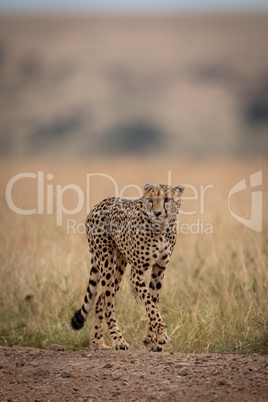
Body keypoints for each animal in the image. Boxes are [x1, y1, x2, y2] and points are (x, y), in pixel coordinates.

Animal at [70, 183, 184, 352]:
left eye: (167, 200)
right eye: (150, 200)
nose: (157, 213)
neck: (161, 228)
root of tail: (101, 202)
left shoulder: (159, 269)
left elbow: (153, 302)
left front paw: (152, 340)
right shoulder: (136, 273)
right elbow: (149, 303)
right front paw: (161, 332)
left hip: (119, 266)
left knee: (100, 300)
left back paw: (97, 342)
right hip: (106, 263)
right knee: (108, 304)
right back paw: (118, 341)